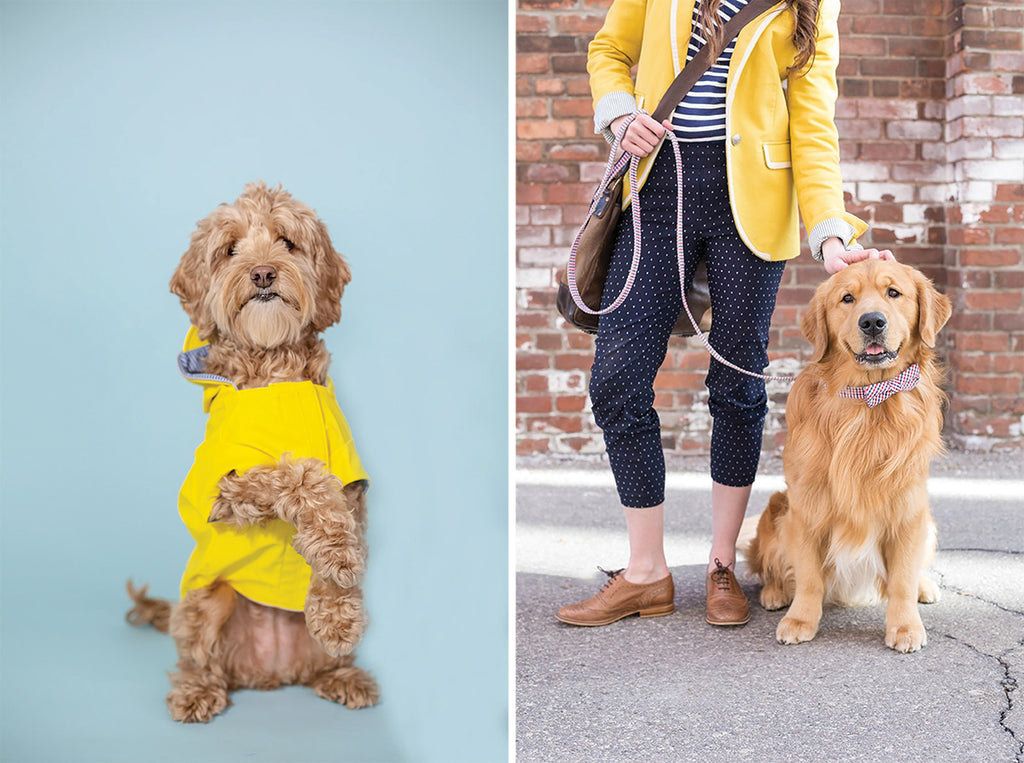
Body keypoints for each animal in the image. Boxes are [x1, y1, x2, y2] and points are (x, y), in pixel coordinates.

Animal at [125, 183, 378, 721]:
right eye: (229, 249)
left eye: (287, 241)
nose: (262, 273)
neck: (276, 373)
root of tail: (270, 673)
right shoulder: (230, 483)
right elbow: (299, 473)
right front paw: (336, 552)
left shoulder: (354, 486)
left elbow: (340, 520)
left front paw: (338, 611)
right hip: (206, 598)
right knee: (197, 655)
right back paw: (197, 690)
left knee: (320, 667)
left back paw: (341, 674)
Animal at [745, 259, 950, 651]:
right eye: (847, 298)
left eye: (893, 292)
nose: (872, 322)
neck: (868, 402)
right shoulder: (807, 507)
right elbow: (809, 576)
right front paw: (800, 619)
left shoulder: (907, 508)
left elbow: (901, 579)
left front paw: (905, 626)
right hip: (776, 512)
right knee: (771, 567)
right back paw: (774, 593)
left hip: (928, 522)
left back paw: (924, 586)